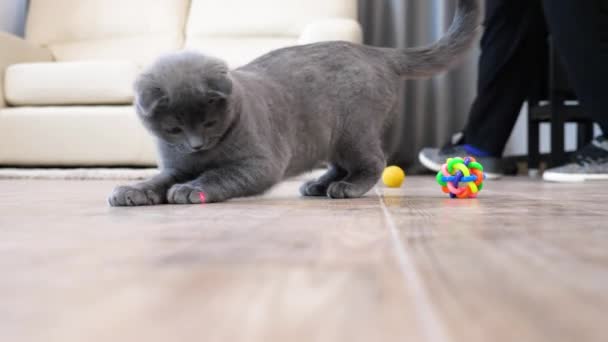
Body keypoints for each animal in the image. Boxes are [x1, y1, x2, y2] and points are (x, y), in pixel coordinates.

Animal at [109, 0, 480, 206]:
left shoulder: (258, 164)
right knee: (341, 164)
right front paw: (132, 190)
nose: (196, 144)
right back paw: (317, 185)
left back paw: (345, 188)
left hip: (353, 130)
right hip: (329, 136)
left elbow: (217, 176)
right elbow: (159, 180)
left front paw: (190, 190)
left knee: (373, 162)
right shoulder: (175, 167)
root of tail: (377, 51)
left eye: (210, 123)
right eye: (174, 129)